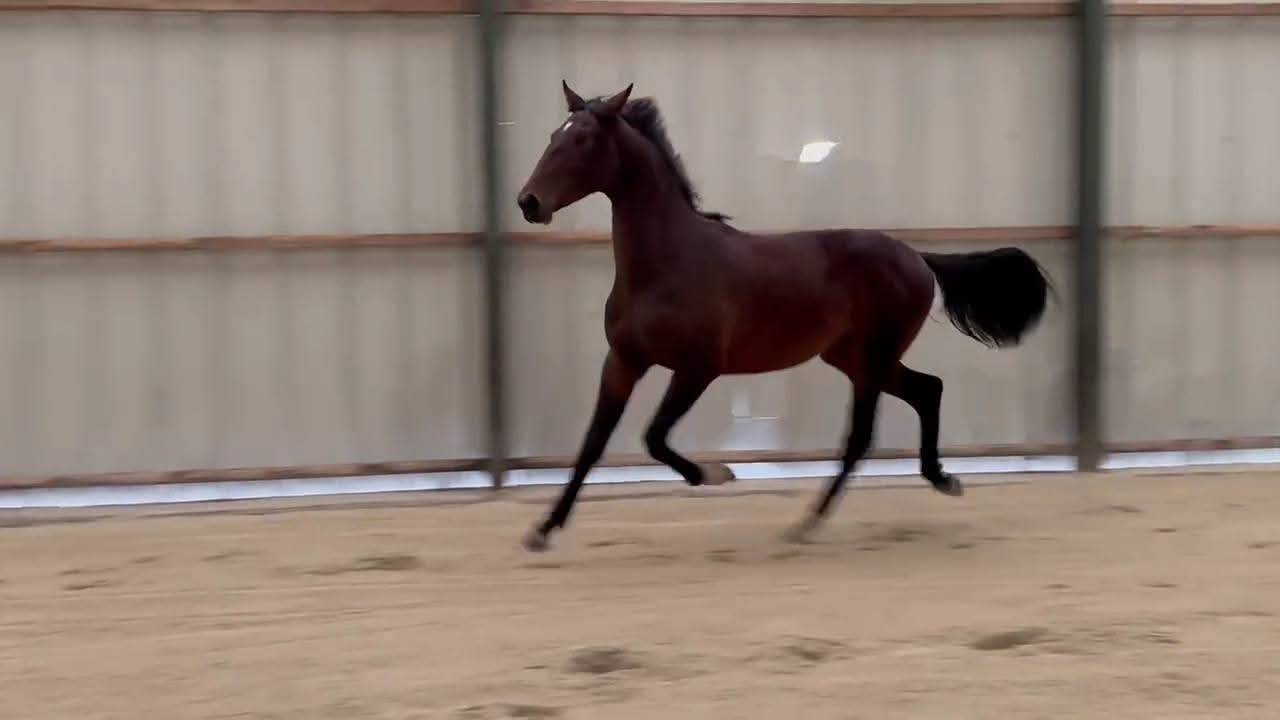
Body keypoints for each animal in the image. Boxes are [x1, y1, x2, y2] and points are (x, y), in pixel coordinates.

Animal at [515, 82, 1051, 552]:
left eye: (582, 139)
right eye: (552, 135)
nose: (528, 202)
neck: (668, 263)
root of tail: (916, 258)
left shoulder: (697, 368)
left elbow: (654, 437)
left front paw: (715, 474)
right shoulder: (624, 361)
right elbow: (592, 444)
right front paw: (543, 530)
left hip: (873, 358)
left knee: (862, 434)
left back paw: (809, 524)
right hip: (853, 357)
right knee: (927, 390)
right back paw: (940, 479)